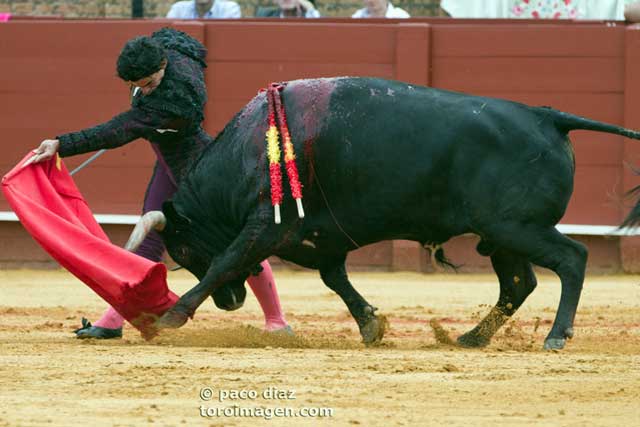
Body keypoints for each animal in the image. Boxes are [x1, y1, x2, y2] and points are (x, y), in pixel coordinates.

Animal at [127, 77, 640, 352]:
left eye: (182, 250)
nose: (231, 304)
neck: (252, 148)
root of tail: (545, 115)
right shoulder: (320, 238)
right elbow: (336, 280)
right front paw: (371, 325)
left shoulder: (267, 228)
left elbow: (224, 262)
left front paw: (170, 316)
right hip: (501, 234)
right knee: (519, 283)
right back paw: (471, 338)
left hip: (518, 227)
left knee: (571, 259)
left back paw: (555, 336)